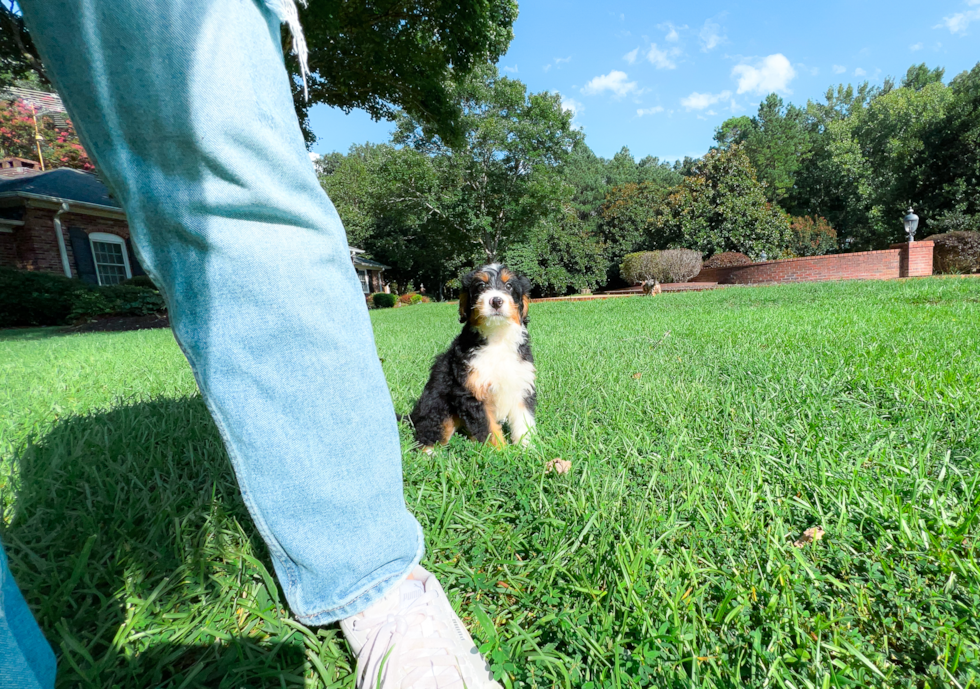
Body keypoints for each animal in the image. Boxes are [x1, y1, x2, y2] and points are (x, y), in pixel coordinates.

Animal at [408, 264, 536, 452]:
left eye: (509, 286)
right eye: (481, 286)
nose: (496, 301)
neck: (497, 338)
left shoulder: (521, 383)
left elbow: (524, 420)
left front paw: (529, 448)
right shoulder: (472, 391)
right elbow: (488, 427)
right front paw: (501, 453)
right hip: (437, 406)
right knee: (430, 433)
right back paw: (430, 452)